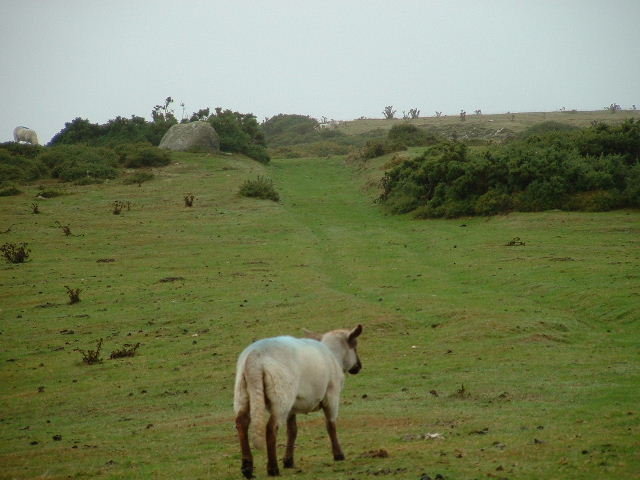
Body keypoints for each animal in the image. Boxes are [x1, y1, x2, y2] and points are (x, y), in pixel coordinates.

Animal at [234, 324, 364, 478]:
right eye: (355, 345)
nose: (359, 366)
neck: (334, 356)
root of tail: (254, 359)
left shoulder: (293, 407)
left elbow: (292, 431)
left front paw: (288, 461)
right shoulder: (332, 394)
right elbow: (330, 425)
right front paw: (339, 455)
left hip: (242, 391)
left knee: (242, 422)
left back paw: (247, 468)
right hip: (281, 394)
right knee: (271, 428)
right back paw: (273, 469)